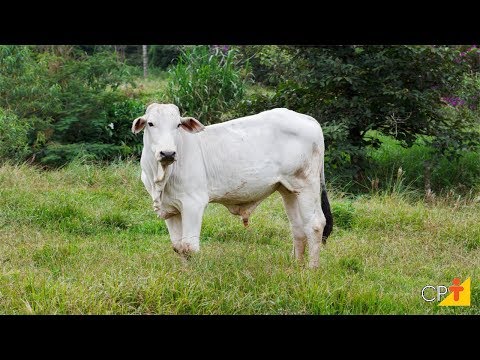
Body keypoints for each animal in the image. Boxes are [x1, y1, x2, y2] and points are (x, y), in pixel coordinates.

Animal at [132, 103, 334, 268]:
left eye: (178, 125)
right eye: (151, 124)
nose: (168, 153)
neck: (162, 176)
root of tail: (309, 120)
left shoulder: (193, 204)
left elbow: (189, 247)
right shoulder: (170, 209)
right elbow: (178, 246)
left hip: (308, 184)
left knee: (315, 224)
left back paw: (311, 269)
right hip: (289, 189)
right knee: (298, 228)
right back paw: (296, 266)